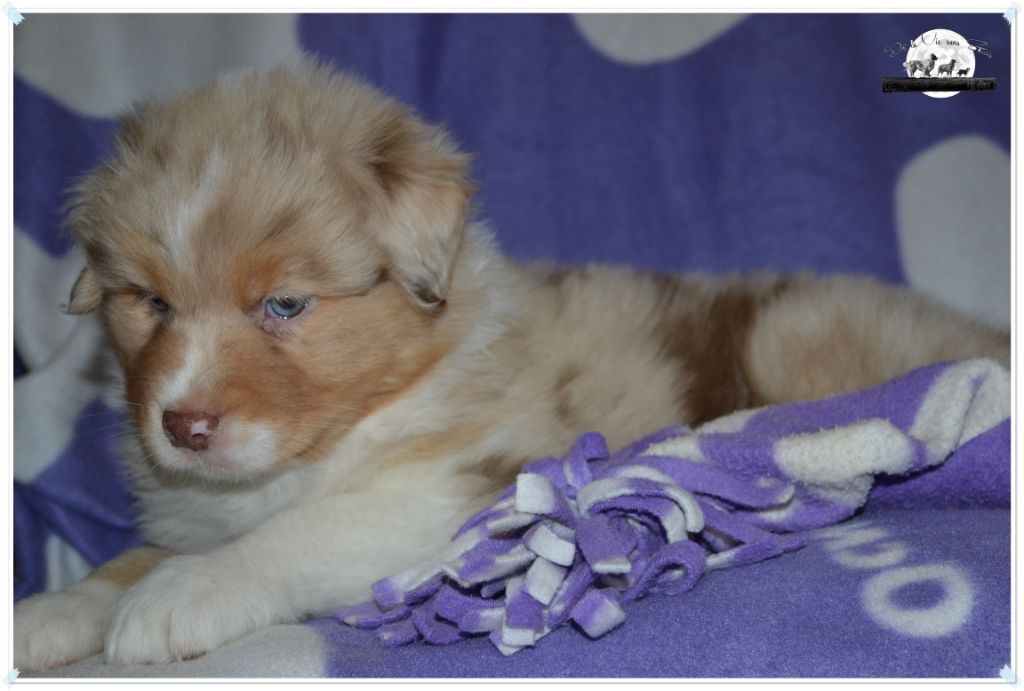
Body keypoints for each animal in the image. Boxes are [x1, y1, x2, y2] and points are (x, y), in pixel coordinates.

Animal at [13, 63, 1010, 672]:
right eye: (149, 302)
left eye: (285, 305)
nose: (183, 424)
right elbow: (136, 552)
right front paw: (58, 607)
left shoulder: (455, 490)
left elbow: (290, 535)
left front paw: (178, 596)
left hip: (791, 333)